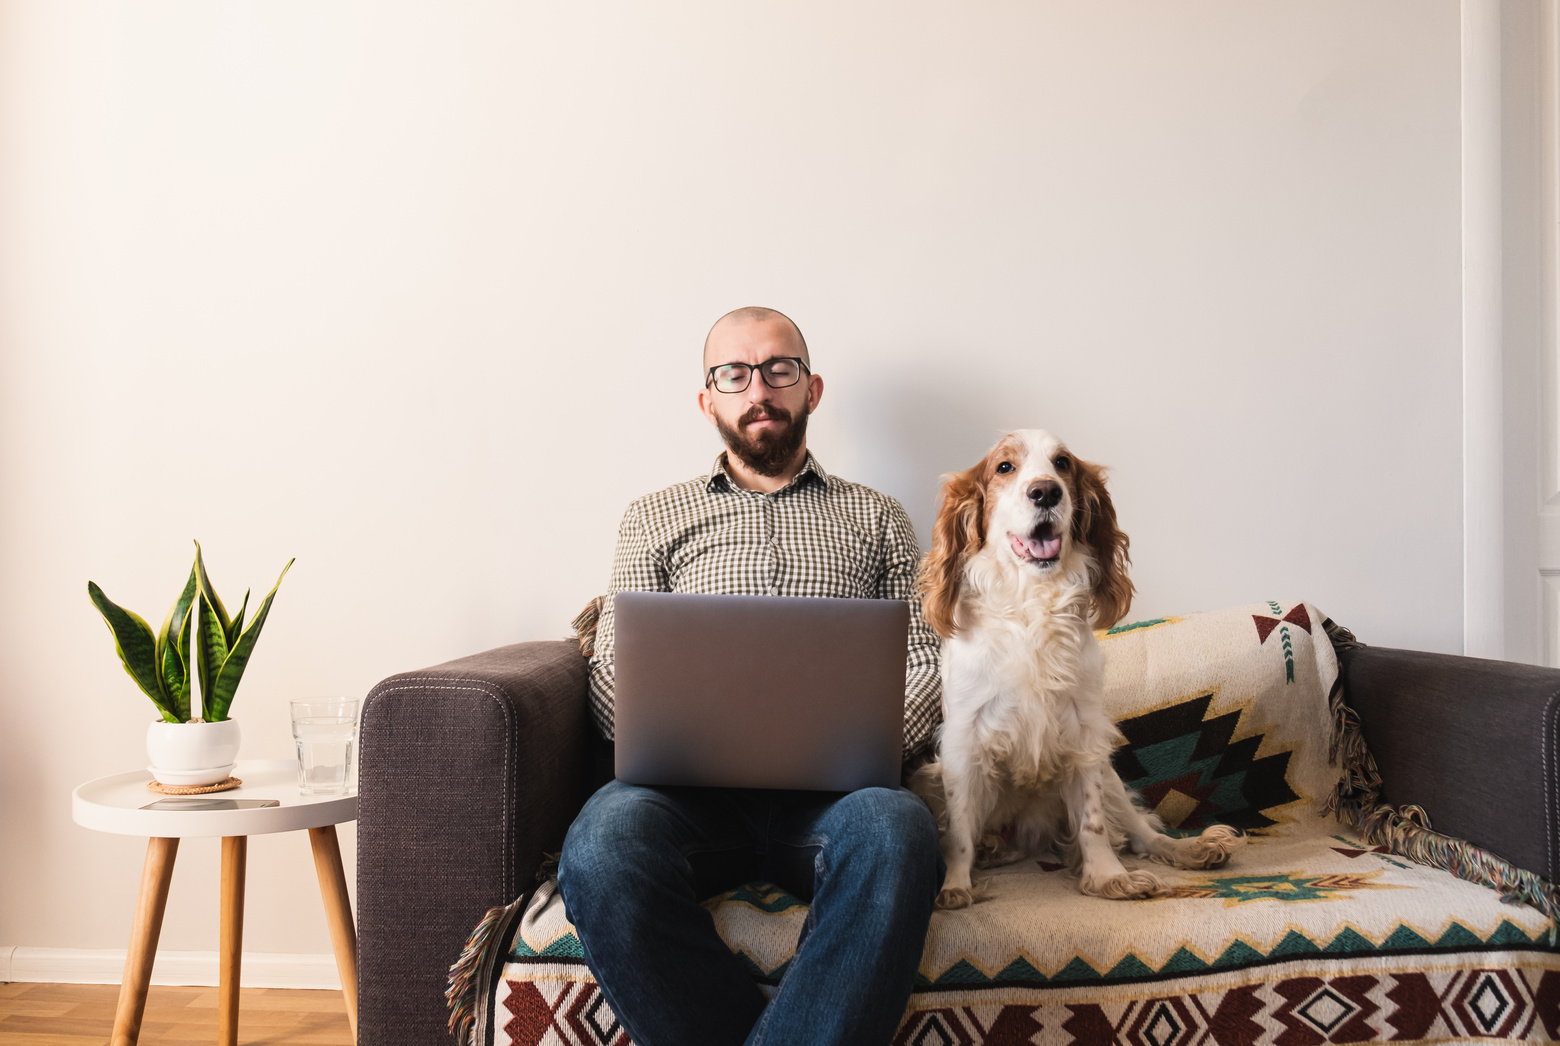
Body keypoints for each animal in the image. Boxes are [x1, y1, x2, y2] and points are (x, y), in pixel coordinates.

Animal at [917, 427, 1235, 910]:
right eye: (1004, 467)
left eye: (1062, 464)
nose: (1046, 491)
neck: (1032, 604)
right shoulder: (964, 742)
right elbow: (958, 833)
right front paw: (954, 886)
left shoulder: (1084, 735)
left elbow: (1094, 824)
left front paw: (1108, 877)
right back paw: (991, 849)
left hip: (1111, 774)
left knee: (1142, 832)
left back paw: (1191, 849)